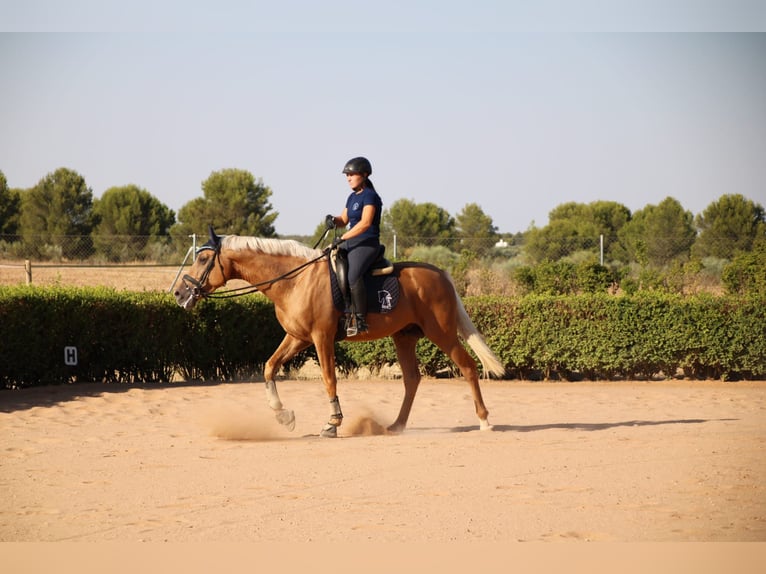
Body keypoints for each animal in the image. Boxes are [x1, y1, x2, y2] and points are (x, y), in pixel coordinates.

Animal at [176, 227, 508, 438]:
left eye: (203, 259)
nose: (180, 293)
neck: (294, 280)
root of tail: (440, 273)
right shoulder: (298, 338)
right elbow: (269, 367)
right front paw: (283, 415)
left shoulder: (321, 338)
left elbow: (328, 379)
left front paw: (332, 423)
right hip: (405, 337)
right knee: (412, 380)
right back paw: (396, 426)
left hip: (442, 334)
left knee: (468, 367)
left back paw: (484, 421)